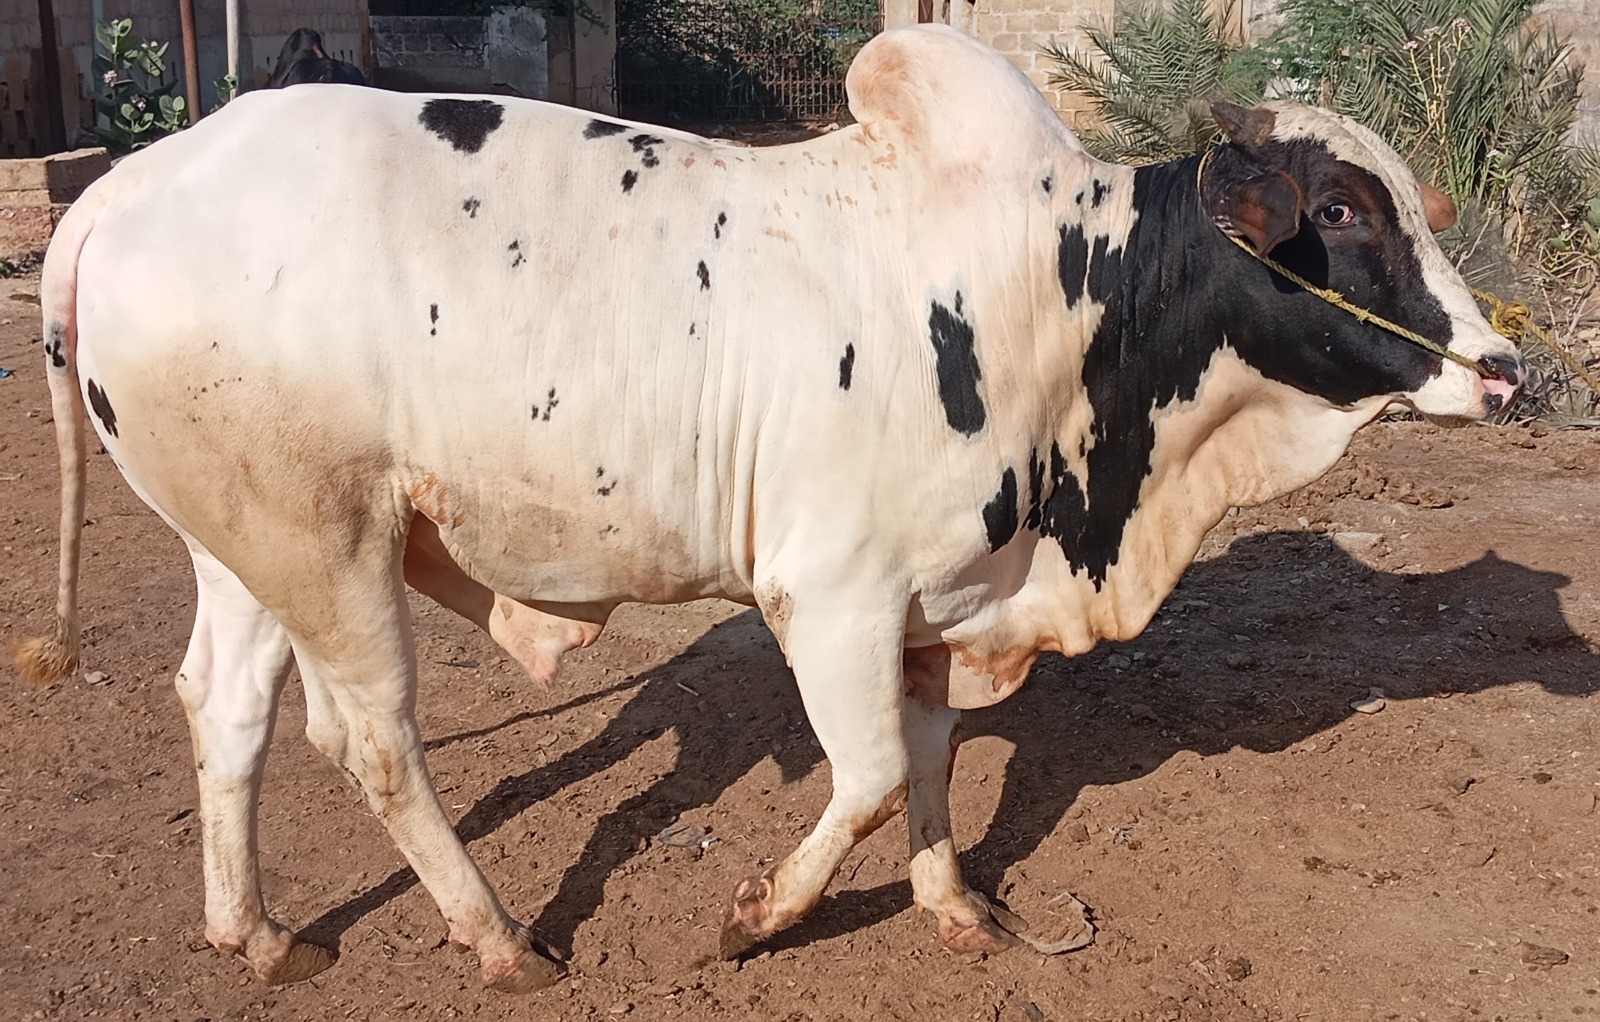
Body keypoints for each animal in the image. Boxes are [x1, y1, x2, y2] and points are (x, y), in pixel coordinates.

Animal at [12, 24, 1524, 996]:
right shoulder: (832, 594)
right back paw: (496, 937)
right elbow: (865, 778)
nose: (1505, 366)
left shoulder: (934, 603)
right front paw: (754, 918)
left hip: (247, 544)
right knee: (371, 738)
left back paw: (258, 933)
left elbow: (929, 766)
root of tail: (133, 184)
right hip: (327, 544)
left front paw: (955, 906)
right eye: (1342, 210)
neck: (1058, 291)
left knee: (227, 707)